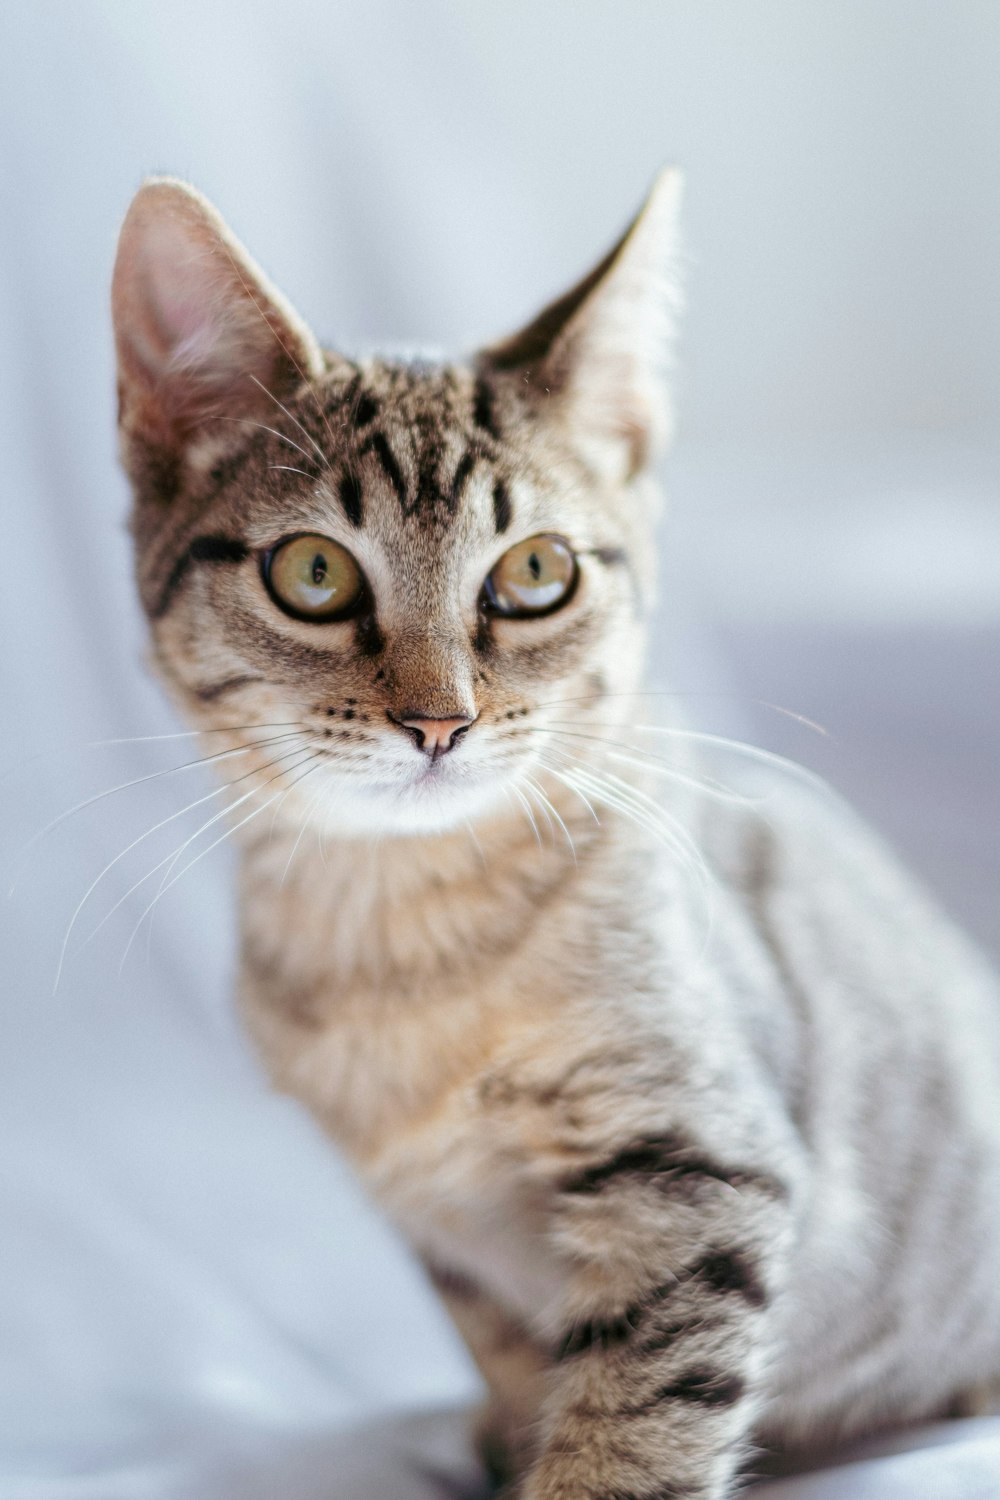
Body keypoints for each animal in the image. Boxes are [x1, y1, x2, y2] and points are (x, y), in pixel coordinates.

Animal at [109, 175, 1000, 1500]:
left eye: (534, 571)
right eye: (313, 571)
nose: (439, 721)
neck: (404, 943)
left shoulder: (698, 1162)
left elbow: (636, 1419)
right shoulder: (450, 1240)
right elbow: (519, 1358)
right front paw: (508, 1441)